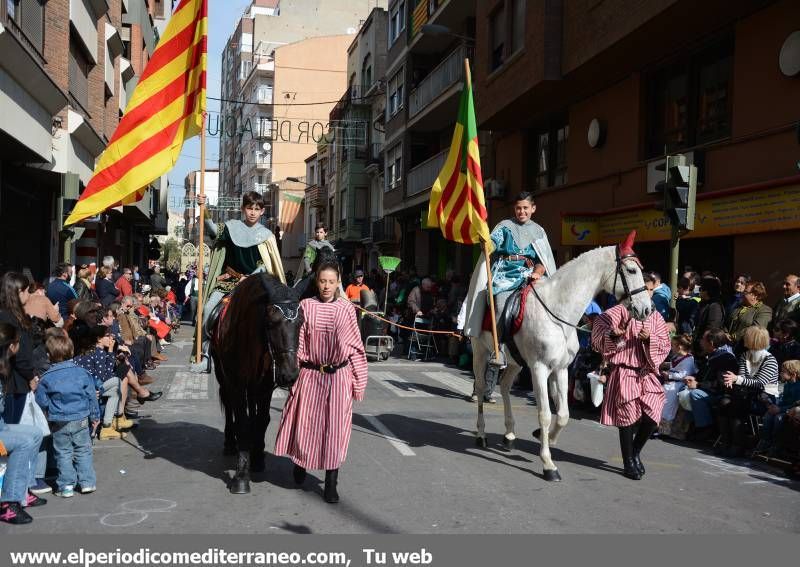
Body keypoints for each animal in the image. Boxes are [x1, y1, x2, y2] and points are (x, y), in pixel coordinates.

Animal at [209, 272, 304, 494]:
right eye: (271, 323)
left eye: (301, 322)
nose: (290, 375)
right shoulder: (235, 383)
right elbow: (242, 422)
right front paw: (241, 476)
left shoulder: (265, 386)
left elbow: (262, 419)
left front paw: (258, 458)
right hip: (222, 375)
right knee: (229, 407)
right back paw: (230, 442)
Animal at [472, 233, 652, 482]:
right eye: (632, 270)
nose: (647, 309)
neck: (557, 311)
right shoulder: (539, 368)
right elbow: (546, 414)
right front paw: (548, 464)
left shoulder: (561, 368)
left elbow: (564, 413)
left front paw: (546, 436)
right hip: (480, 351)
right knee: (480, 389)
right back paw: (481, 434)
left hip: (517, 362)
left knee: (506, 385)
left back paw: (509, 435)